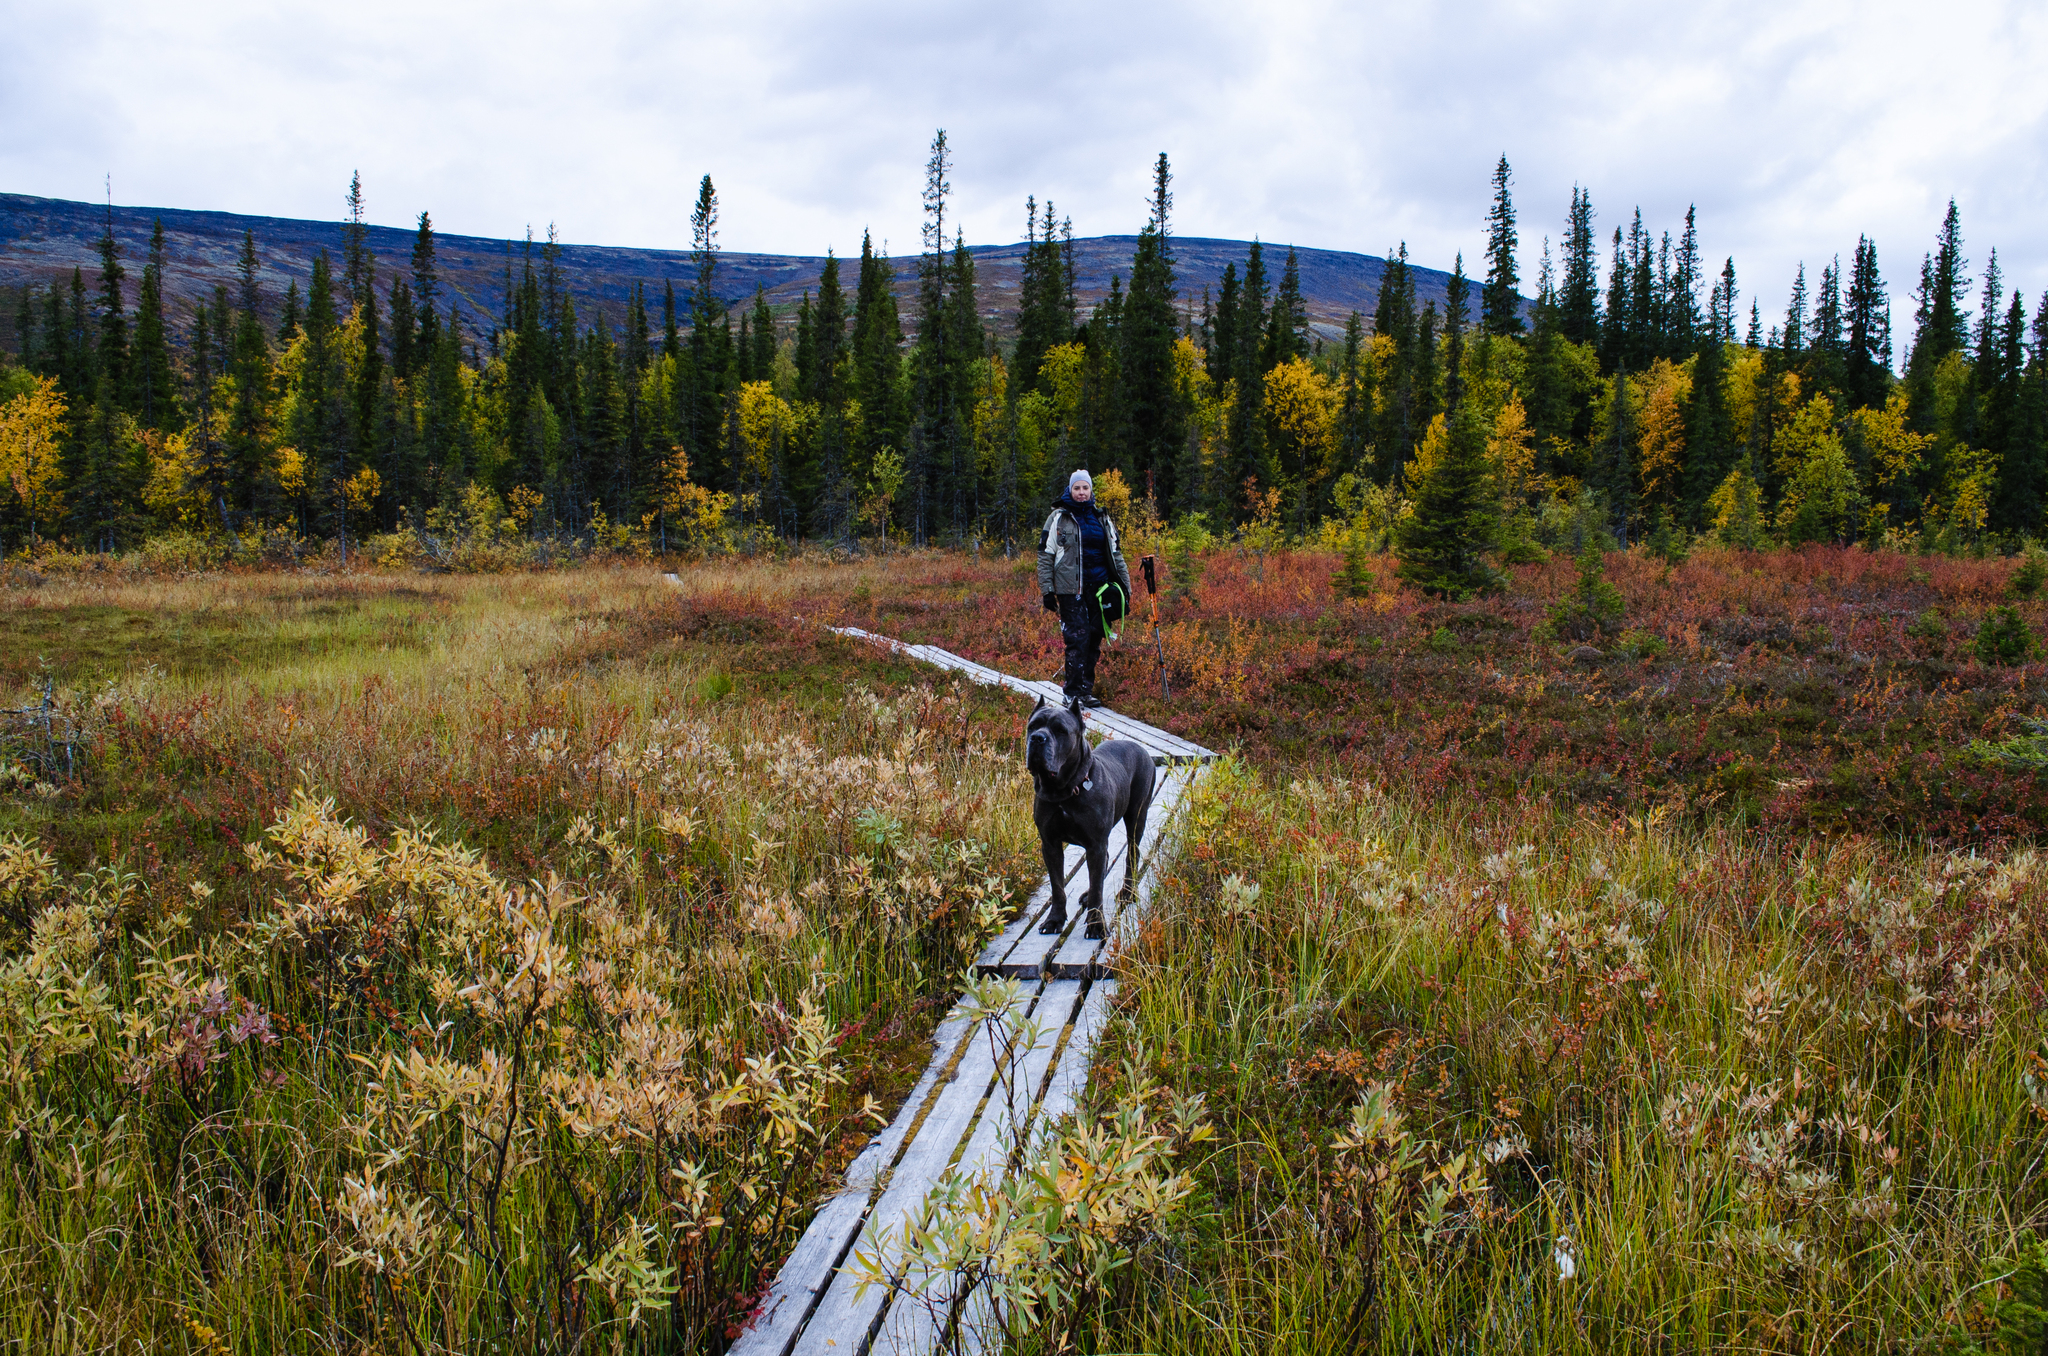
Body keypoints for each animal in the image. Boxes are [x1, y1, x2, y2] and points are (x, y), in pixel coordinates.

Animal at [1024, 696, 1155, 942]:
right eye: (1032, 727)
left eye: (1060, 730)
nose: (1037, 738)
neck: (1063, 791)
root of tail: (1142, 750)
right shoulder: (1050, 844)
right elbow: (1057, 886)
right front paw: (1054, 920)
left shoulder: (1095, 844)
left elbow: (1097, 890)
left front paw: (1096, 925)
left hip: (1136, 819)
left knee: (1131, 855)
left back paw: (1127, 892)